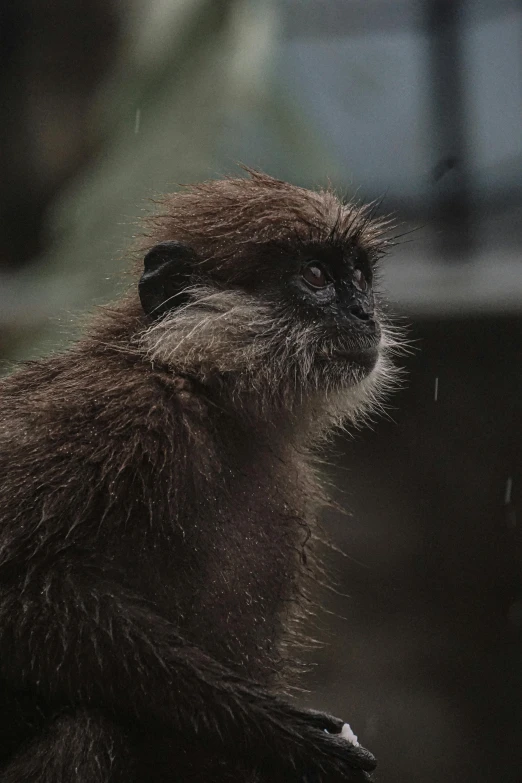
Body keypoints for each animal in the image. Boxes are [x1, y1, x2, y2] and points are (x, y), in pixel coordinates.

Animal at [0, 172, 400, 783]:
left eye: (357, 277)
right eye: (315, 277)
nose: (365, 314)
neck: (204, 391)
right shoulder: (121, 412)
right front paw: (278, 732)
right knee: (88, 729)